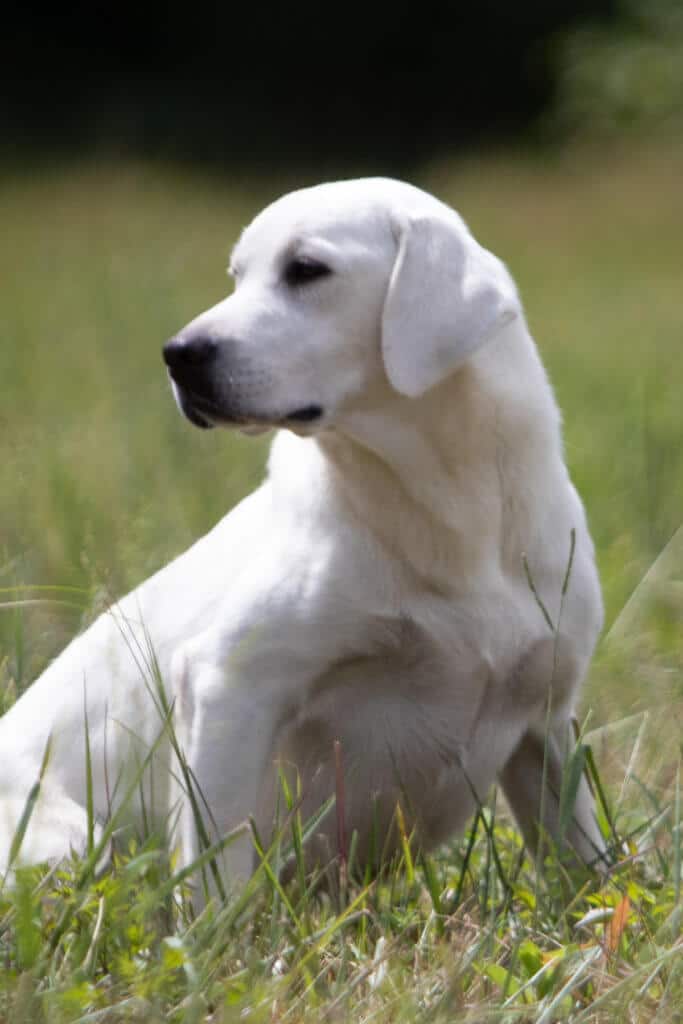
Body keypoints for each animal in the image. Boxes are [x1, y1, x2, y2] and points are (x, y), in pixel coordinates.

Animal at [1, 180, 610, 892]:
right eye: (236, 276)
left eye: (306, 270)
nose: (178, 354)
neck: (447, 514)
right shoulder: (226, 683)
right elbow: (215, 879)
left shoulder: (546, 724)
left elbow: (586, 865)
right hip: (68, 843)